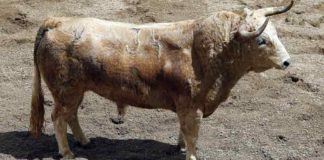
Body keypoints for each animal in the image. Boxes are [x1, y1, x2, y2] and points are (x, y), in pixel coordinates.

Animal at [29, 0, 294, 159]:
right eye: (262, 40)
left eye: (276, 34)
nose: (286, 62)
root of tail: (56, 22)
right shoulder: (192, 107)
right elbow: (191, 133)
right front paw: (190, 153)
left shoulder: (187, 107)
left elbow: (184, 132)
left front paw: (180, 146)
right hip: (66, 91)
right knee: (58, 118)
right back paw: (67, 152)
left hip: (76, 91)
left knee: (71, 115)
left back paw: (84, 142)